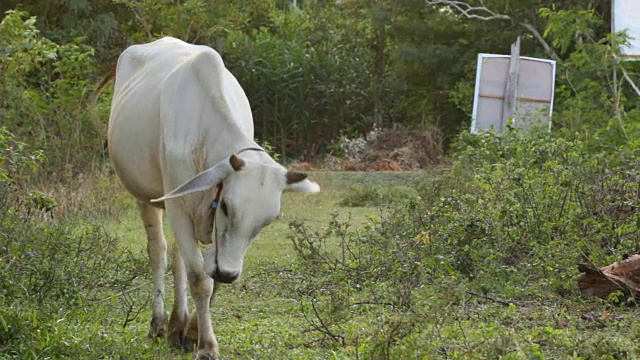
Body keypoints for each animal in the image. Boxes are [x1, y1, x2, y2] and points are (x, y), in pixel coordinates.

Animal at [107, 38, 322, 358]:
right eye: (227, 208)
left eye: (267, 222)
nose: (231, 274)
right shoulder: (177, 207)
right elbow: (199, 279)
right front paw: (206, 345)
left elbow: (209, 277)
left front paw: (192, 332)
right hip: (145, 197)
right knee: (158, 251)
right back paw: (160, 324)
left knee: (178, 256)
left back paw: (178, 325)